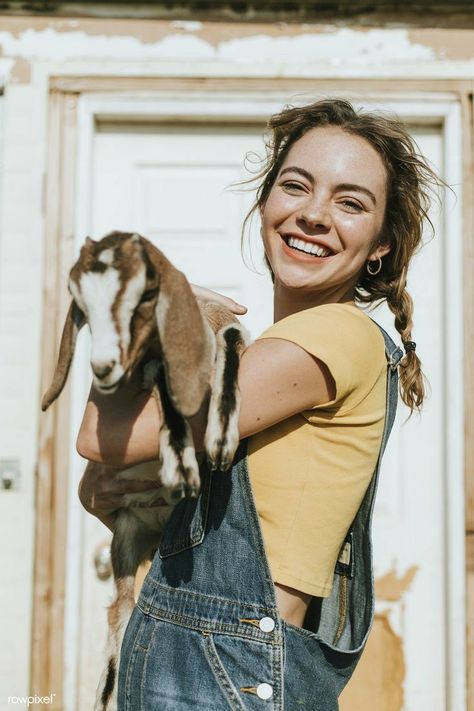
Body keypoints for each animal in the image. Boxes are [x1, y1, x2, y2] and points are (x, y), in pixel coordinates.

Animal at [41, 231, 250, 708]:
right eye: (82, 306)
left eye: (142, 297)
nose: (104, 367)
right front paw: (181, 464)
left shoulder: (226, 331)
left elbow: (231, 341)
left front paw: (218, 442)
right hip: (125, 538)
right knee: (120, 621)